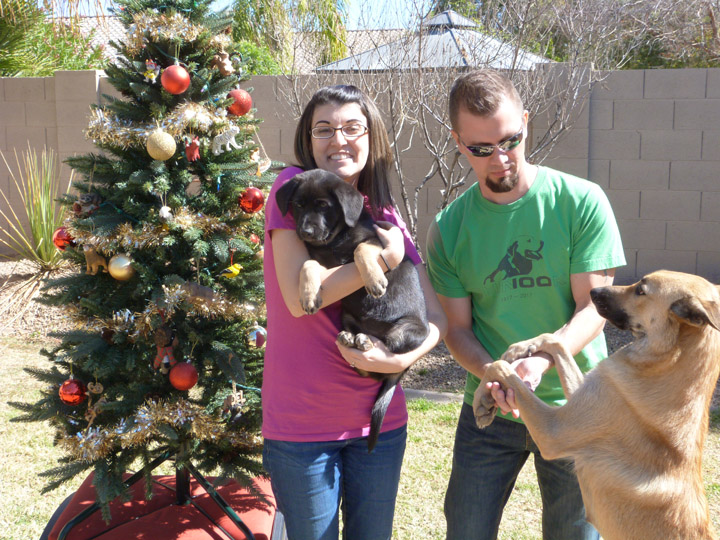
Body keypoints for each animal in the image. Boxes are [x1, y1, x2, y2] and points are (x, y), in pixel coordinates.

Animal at [278, 169, 430, 452]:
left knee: (387, 349)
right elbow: (308, 264)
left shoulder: (376, 240)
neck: (334, 241)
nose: (305, 231)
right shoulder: (320, 261)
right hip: (347, 316)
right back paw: (351, 338)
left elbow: (361, 248)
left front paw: (374, 279)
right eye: (298, 205)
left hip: (407, 331)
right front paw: (308, 295)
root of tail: (399, 376)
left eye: (323, 205)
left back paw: (364, 342)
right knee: (365, 368)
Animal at [472, 272, 720, 540]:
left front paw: (482, 397)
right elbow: (554, 340)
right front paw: (520, 348)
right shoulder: (583, 394)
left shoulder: (552, 429)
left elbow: (502, 369)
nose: (594, 292)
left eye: (641, 291)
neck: (669, 359)